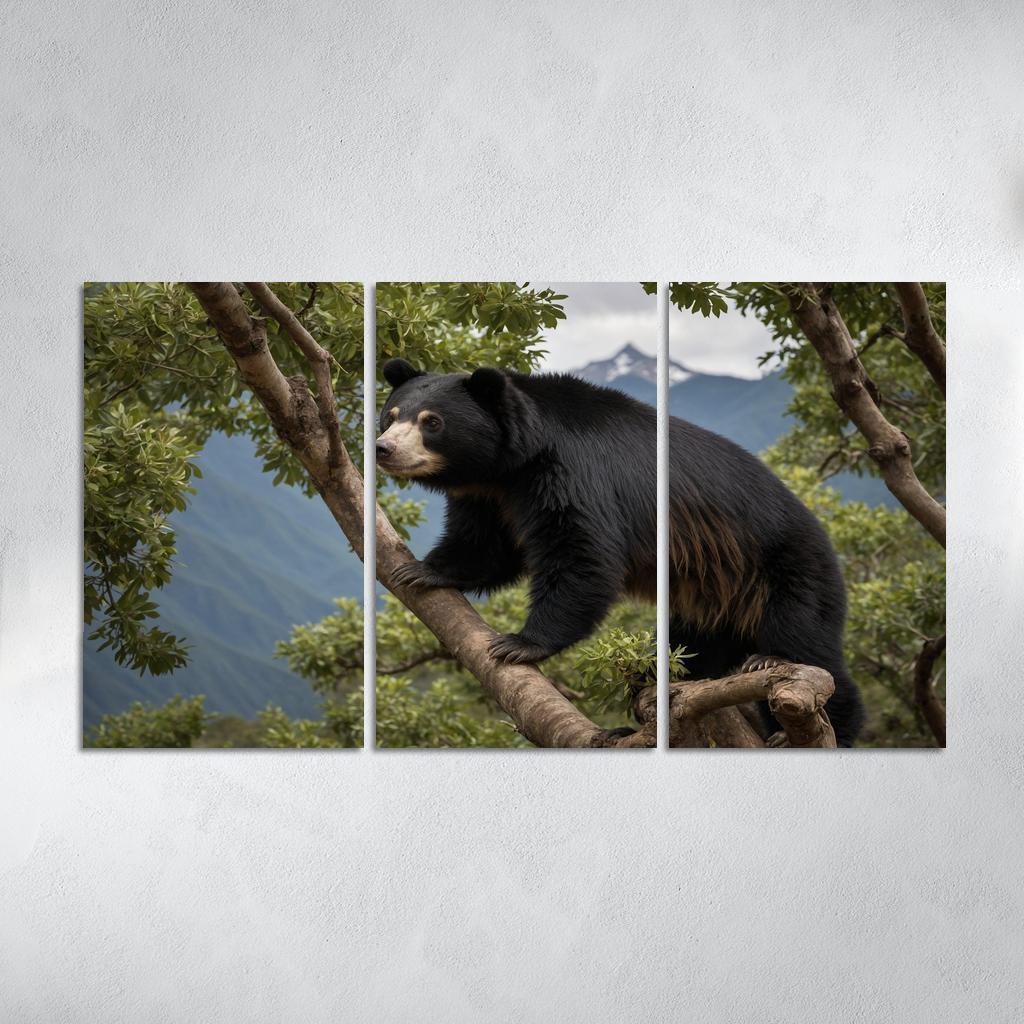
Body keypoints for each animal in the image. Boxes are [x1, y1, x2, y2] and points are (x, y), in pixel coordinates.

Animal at [376, 357, 865, 747]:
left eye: (432, 422)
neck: (513, 463)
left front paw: (518, 644)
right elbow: (486, 545)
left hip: (784, 567)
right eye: (391, 415)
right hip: (712, 590)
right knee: (696, 642)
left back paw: (800, 704)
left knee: (807, 640)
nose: (383, 449)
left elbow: (582, 554)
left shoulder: (574, 472)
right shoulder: (489, 495)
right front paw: (424, 571)